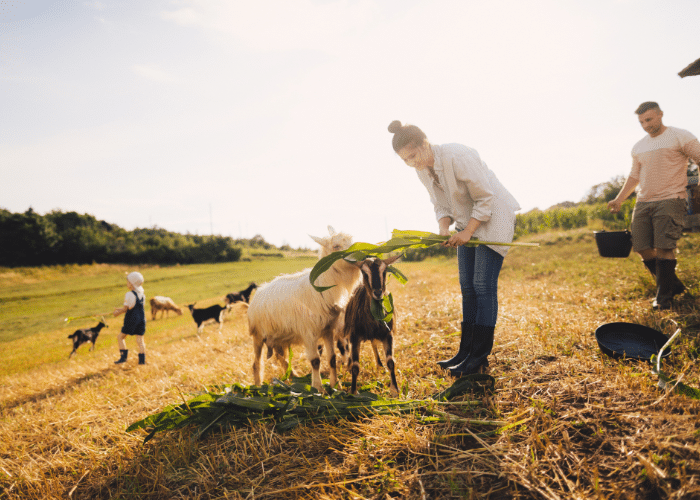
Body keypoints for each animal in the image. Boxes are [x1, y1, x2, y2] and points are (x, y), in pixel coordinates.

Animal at [247, 226, 360, 390]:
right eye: (336, 246)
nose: (360, 256)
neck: (323, 286)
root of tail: (259, 291)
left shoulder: (328, 329)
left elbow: (332, 358)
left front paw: (336, 386)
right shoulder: (309, 332)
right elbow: (315, 361)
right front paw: (318, 389)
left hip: (278, 336)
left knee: (279, 356)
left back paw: (293, 376)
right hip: (257, 335)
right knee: (256, 363)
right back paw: (258, 387)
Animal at [344, 256, 402, 396]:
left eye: (384, 271)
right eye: (364, 273)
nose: (378, 292)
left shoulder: (387, 334)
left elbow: (391, 362)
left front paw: (395, 390)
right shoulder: (355, 336)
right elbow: (355, 366)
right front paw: (353, 392)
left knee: (374, 344)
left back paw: (379, 365)